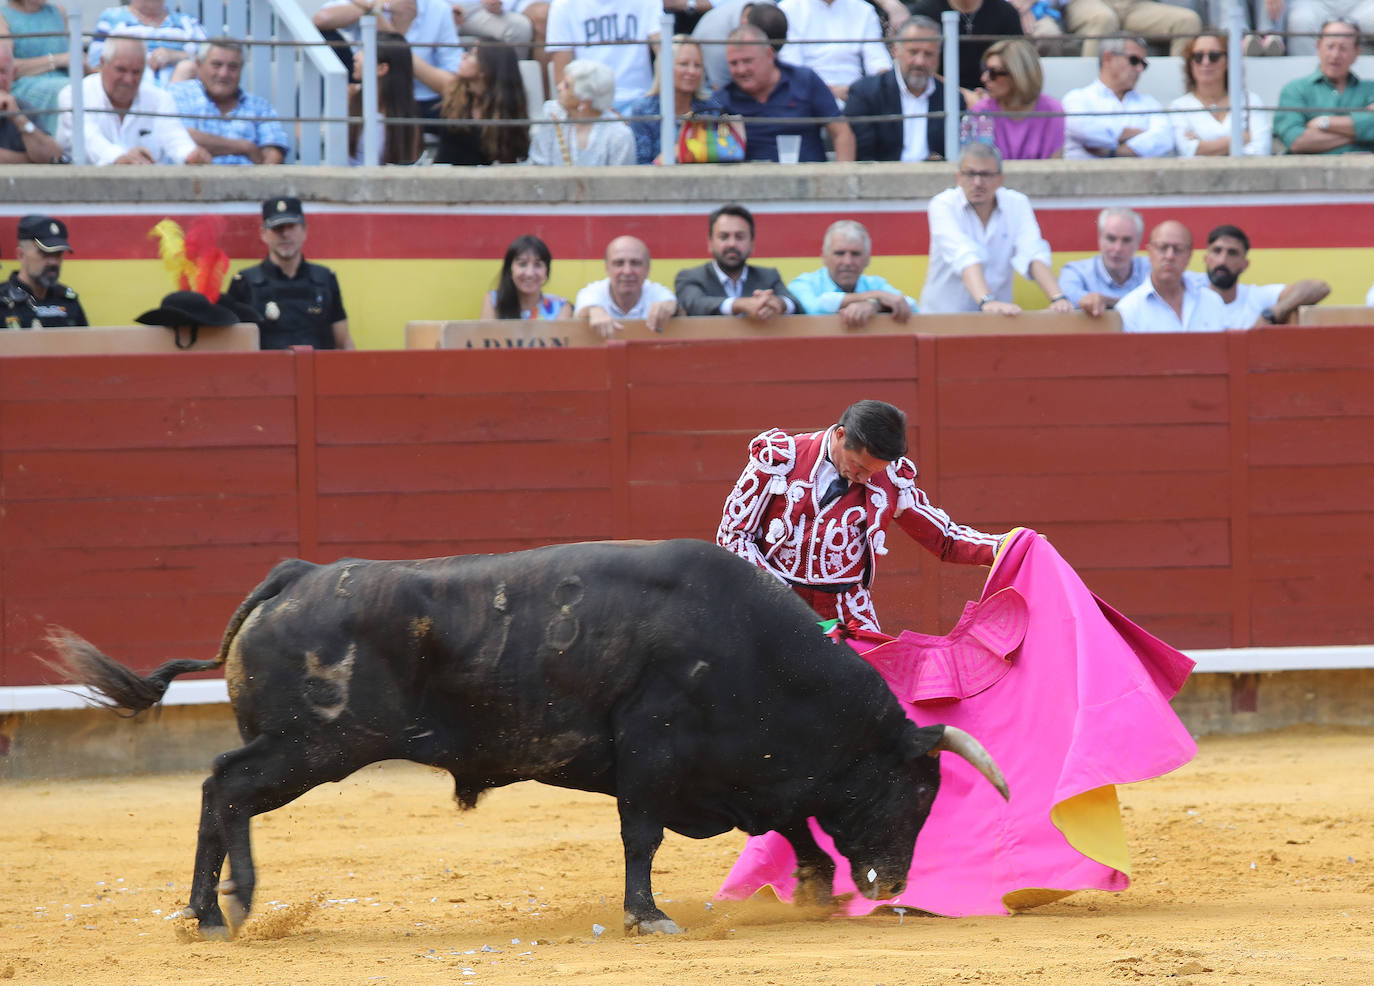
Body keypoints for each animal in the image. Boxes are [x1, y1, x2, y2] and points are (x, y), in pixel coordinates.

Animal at [45, 541, 1011, 933]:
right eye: (916, 790)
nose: (895, 882)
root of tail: (297, 575)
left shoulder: (734, 773)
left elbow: (790, 822)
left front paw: (812, 889)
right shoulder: (656, 755)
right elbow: (643, 837)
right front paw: (648, 915)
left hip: (304, 749)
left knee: (220, 792)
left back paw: (202, 913)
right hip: (310, 748)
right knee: (226, 786)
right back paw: (231, 906)